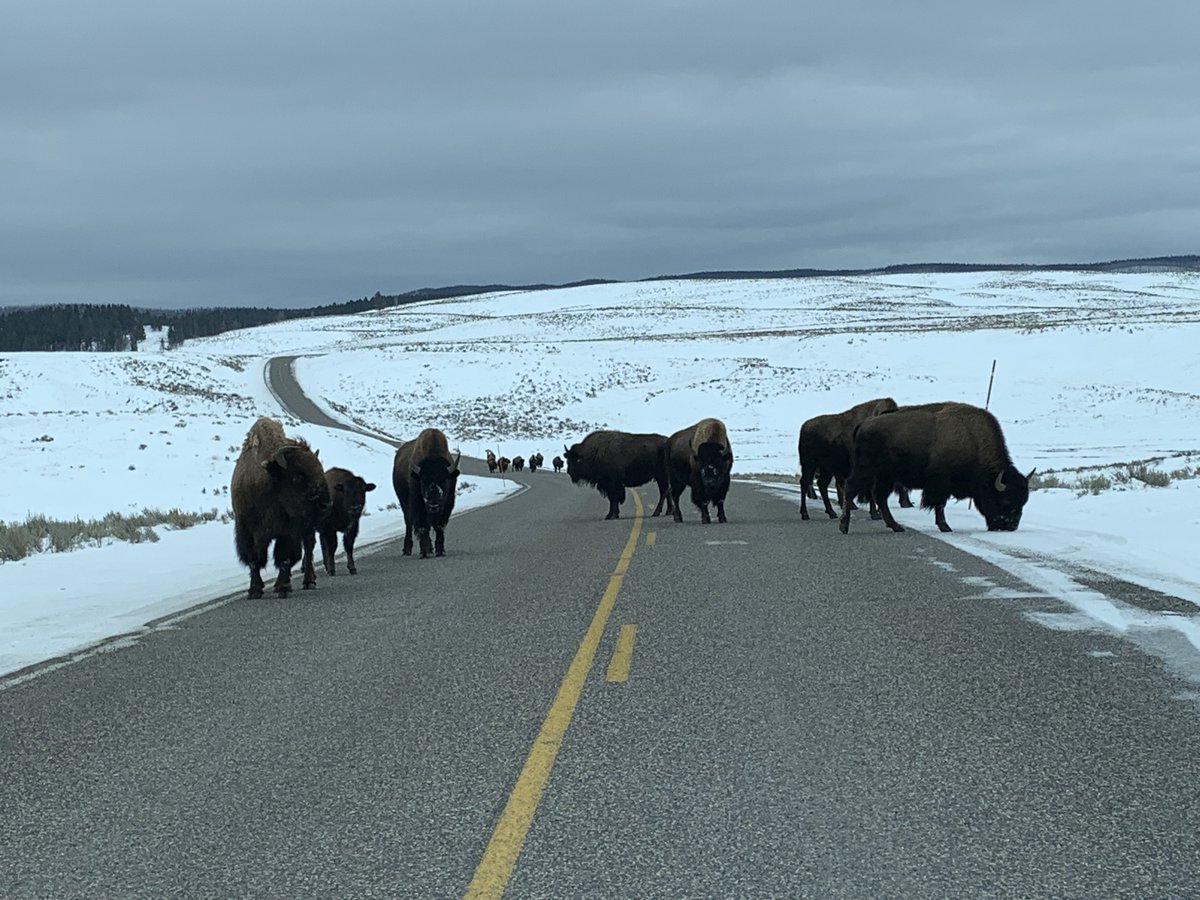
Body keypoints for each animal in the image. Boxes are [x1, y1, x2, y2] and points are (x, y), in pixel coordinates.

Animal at [231, 417, 332, 598]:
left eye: (320, 471)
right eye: (298, 476)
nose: (325, 505)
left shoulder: (288, 531)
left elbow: (284, 558)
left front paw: (283, 587)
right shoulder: (247, 530)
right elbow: (254, 559)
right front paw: (255, 590)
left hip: (308, 528)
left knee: (308, 549)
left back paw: (308, 581)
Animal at [392, 428, 461, 557]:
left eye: (444, 479)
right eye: (423, 480)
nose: (433, 505)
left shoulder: (447, 504)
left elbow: (439, 526)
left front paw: (440, 551)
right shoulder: (418, 504)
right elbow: (423, 527)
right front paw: (424, 553)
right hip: (403, 502)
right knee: (408, 522)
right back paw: (408, 549)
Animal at [839, 401, 1034, 534]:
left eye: (1023, 501)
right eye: (1006, 501)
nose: (1010, 526)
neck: (971, 440)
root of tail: (864, 424)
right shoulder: (940, 483)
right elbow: (939, 505)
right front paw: (945, 527)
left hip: (886, 476)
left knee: (880, 497)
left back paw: (896, 526)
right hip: (866, 470)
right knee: (851, 489)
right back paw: (844, 526)